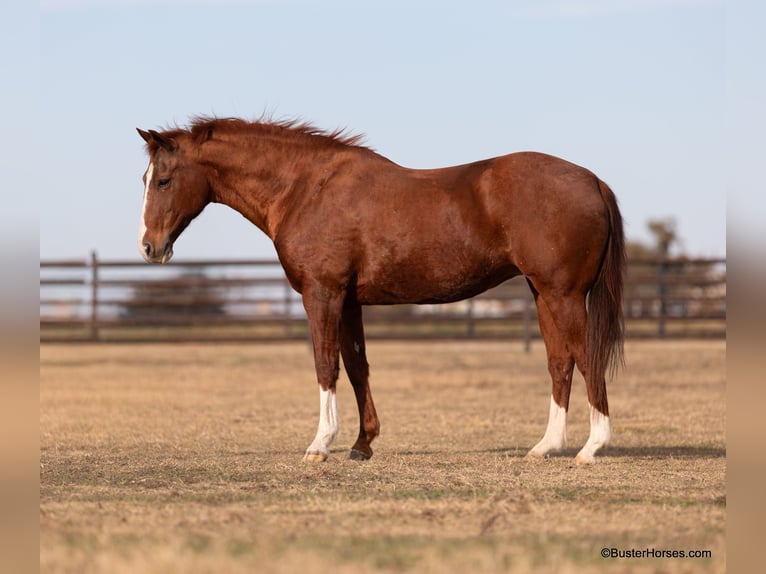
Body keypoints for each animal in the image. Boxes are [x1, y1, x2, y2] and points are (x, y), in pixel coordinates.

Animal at [137, 117, 624, 465]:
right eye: (145, 180)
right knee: (560, 362)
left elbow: (325, 365)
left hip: (564, 295)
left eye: (163, 180)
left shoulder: (322, 294)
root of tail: (593, 180)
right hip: (543, 294)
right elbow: (357, 367)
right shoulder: (349, 301)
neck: (306, 188)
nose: (149, 247)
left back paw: (591, 448)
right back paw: (546, 446)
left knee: (586, 357)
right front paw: (361, 444)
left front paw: (320, 444)